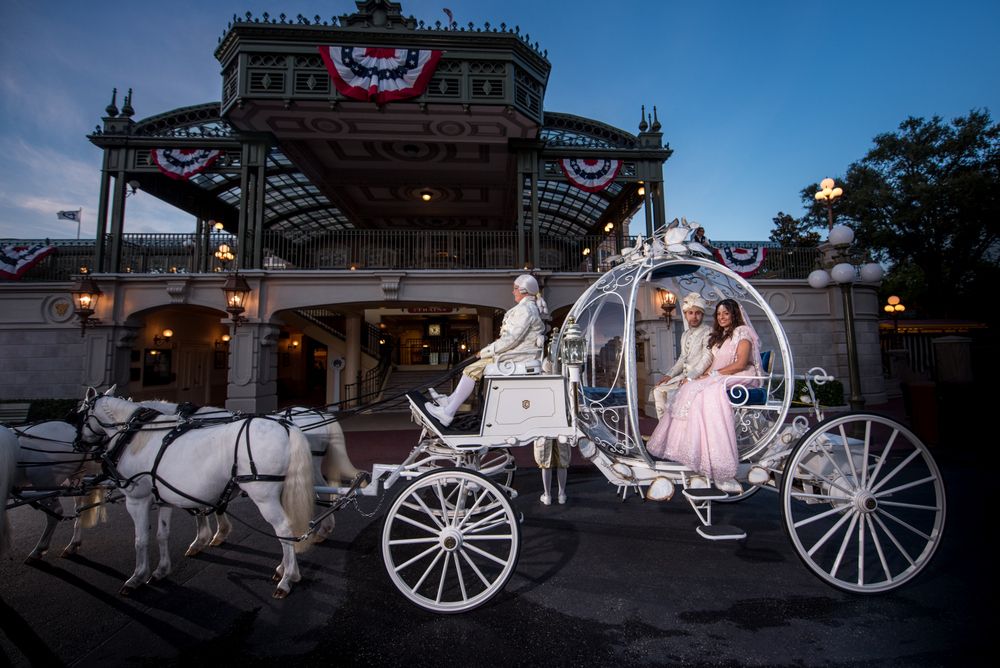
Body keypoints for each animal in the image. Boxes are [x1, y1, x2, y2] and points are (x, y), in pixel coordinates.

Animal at [3, 420, 104, 560]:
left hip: (43, 481)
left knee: (55, 512)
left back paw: (39, 549)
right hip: (75, 479)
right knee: (79, 509)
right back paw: (73, 544)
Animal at [79, 388, 312, 596]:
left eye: (80, 412)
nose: (80, 443)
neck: (136, 435)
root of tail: (285, 426)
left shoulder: (137, 498)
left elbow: (141, 539)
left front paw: (137, 577)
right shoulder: (165, 496)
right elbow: (163, 534)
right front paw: (162, 569)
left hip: (264, 496)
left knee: (284, 529)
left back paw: (287, 578)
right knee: (287, 531)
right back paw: (283, 569)